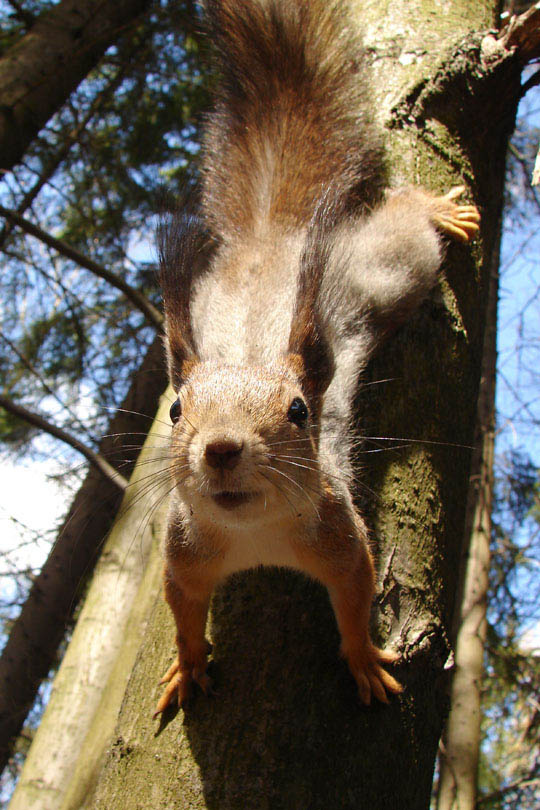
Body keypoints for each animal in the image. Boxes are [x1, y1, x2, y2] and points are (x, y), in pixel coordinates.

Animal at [154, 0, 480, 716]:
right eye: (175, 411)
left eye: (301, 411)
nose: (221, 448)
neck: (254, 532)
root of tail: (269, 236)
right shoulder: (183, 552)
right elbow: (183, 612)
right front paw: (187, 666)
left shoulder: (340, 535)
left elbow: (356, 599)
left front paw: (364, 661)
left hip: (387, 272)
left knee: (405, 227)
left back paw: (432, 207)